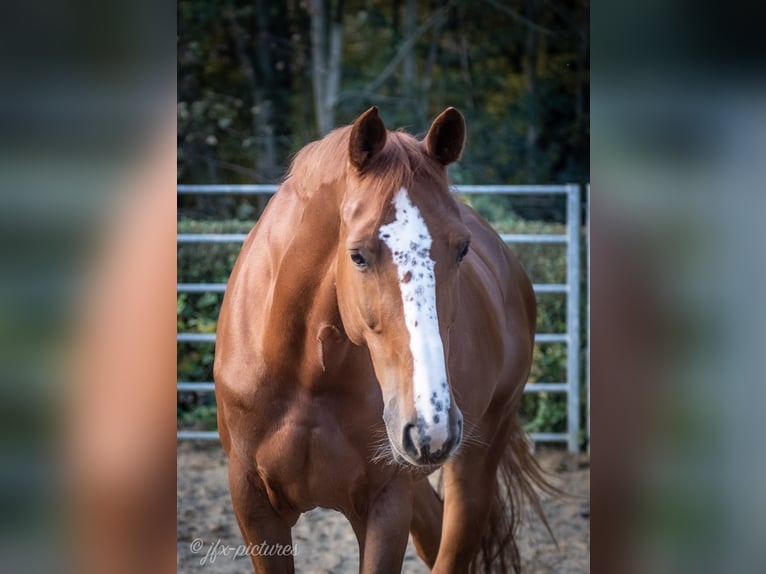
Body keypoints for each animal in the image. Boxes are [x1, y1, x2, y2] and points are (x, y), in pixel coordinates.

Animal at [213, 109, 556, 574]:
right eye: (357, 254)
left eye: (461, 249)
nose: (431, 424)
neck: (305, 375)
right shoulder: (253, 506)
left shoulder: (385, 506)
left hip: (474, 465)